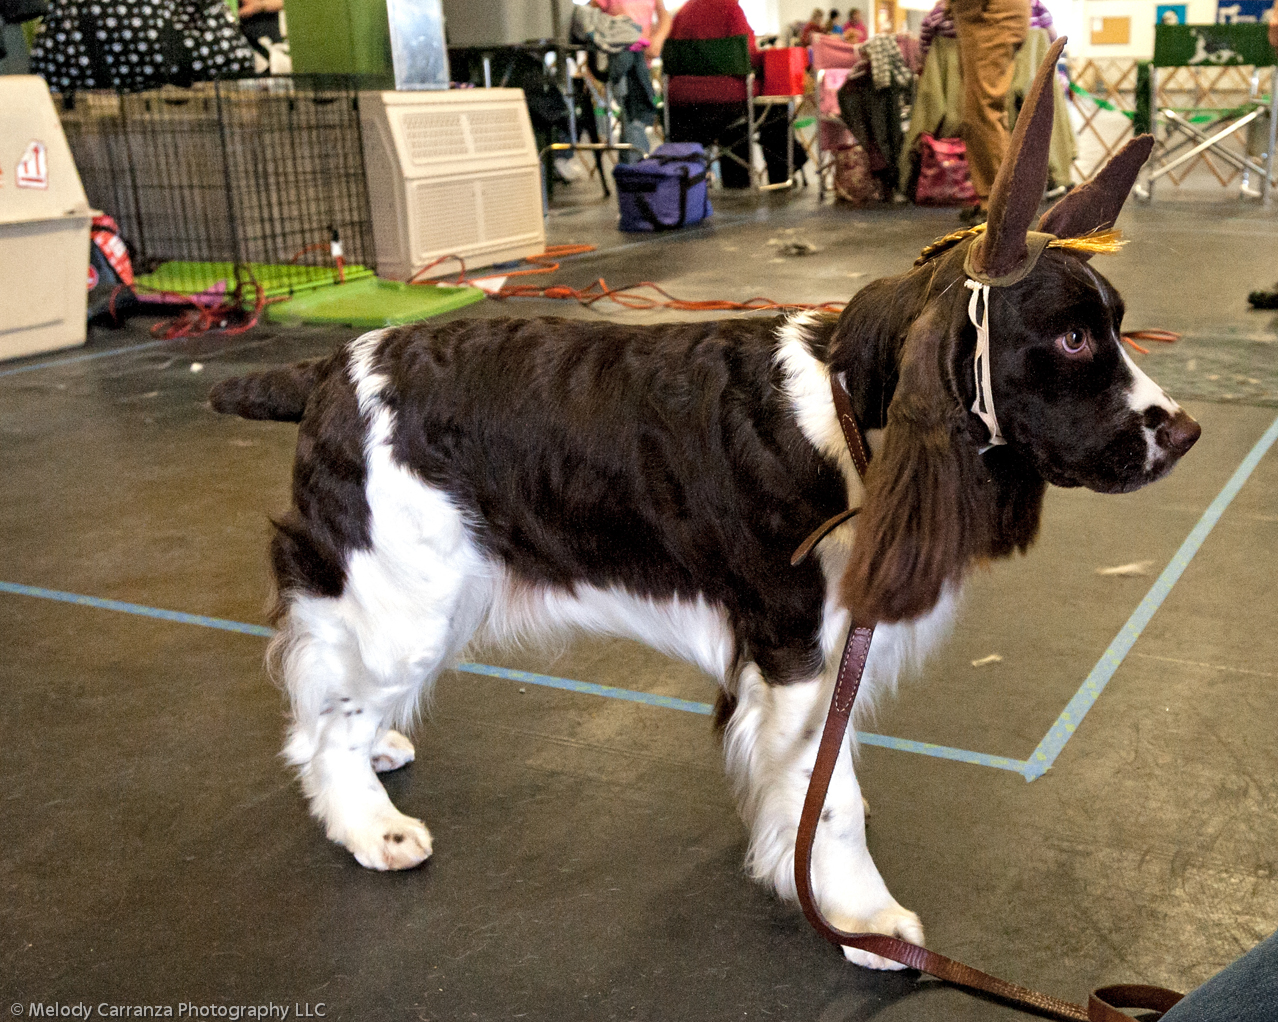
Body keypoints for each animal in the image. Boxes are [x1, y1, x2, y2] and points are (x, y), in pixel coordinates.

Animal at [209, 39, 1196, 965]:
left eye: (1115, 325)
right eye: (1073, 339)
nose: (1184, 433)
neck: (849, 418)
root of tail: (331, 368)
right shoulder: (795, 649)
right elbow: (827, 803)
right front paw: (864, 922)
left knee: (330, 689)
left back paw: (381, 749)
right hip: (404, 595)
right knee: (324, 725)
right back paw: (372, 826)